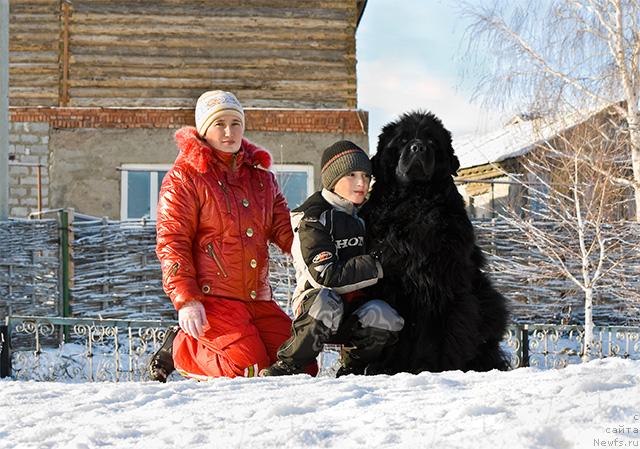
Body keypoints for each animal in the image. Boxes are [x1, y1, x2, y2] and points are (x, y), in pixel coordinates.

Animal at [362, 110, 508, 372]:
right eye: (402, 140)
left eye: (431, 141)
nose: (418, 147)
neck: (415, 199)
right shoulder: (389, 280)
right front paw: (385, 367)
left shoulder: (442, 281)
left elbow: (441, 332)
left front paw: (434, 366)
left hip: (488, 300)